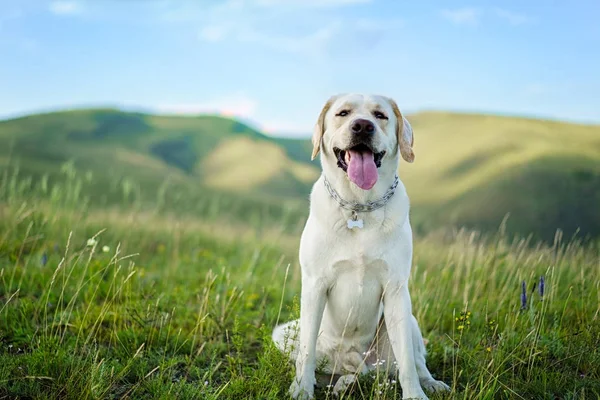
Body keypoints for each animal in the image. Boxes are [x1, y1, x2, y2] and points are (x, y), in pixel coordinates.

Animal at [272, 94, 450, 400]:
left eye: (380, 116)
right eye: (343, 113)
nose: (363, 126)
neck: (359, 206)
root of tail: (353, 359)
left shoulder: (396, 289)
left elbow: (407, 361)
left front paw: (415, 394)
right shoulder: (315, 284)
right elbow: (305, 353)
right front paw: (301, 391)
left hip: (408, 320)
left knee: (410, 363)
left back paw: (429, 383)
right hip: (284, 335)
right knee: (333, 370)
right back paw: (341, 383)